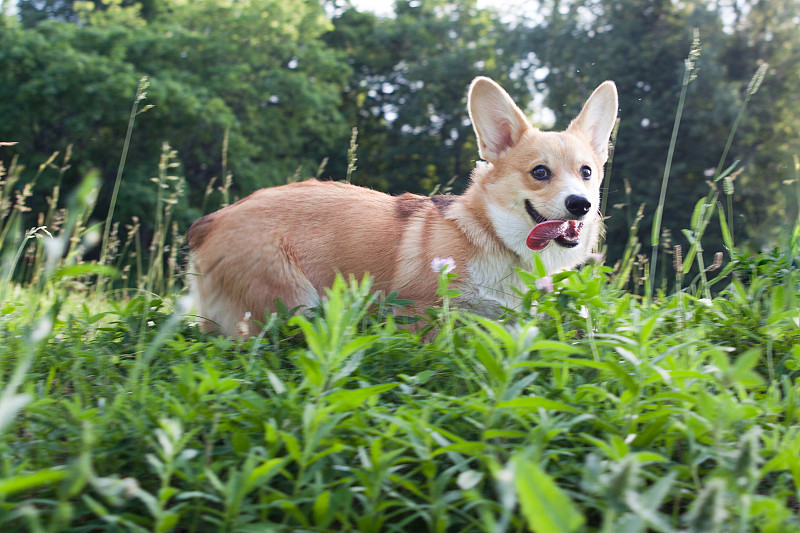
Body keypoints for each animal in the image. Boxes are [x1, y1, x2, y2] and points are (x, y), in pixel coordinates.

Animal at [188, 76, 620, 334]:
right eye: (540, 172)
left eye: (586, 171)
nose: (580, 205)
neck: (495, 239)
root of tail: (211, 221)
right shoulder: (417, 312)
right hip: (293, 304)